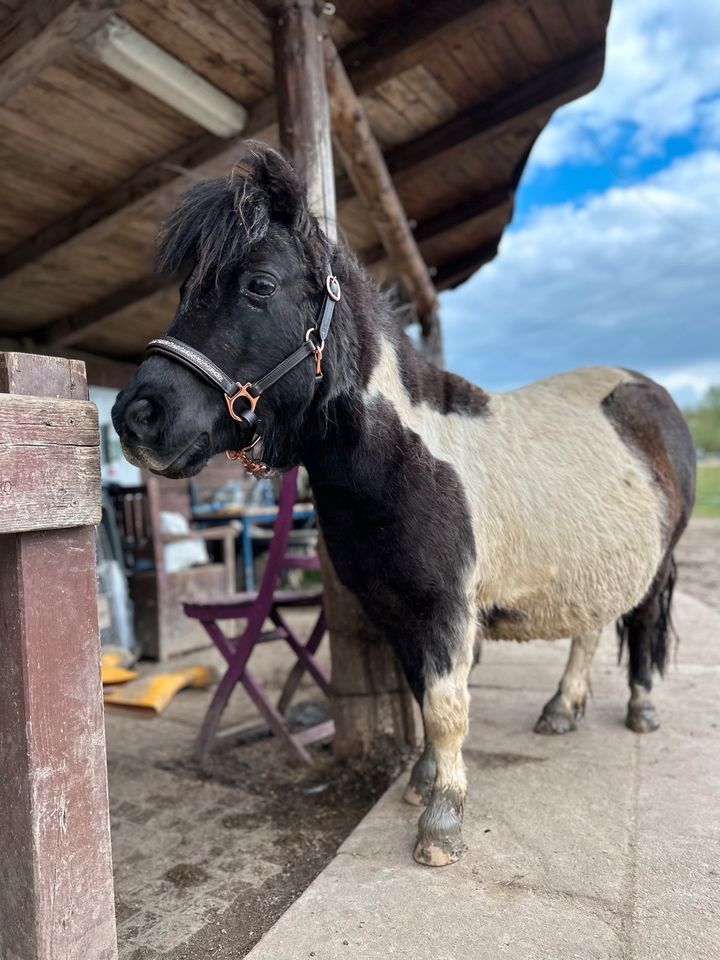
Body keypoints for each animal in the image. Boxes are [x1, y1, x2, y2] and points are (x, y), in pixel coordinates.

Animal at [114, 142, 696, 872]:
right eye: (185, 290)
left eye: (259, 285)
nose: (136, 415)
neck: (406, 459)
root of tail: (652, 396)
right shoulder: (391, 607)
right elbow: (421, 695)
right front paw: (422, 781)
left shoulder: (445, 608)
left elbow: (446, 704)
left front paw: (442, 820)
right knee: (589, 627)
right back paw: (561, 709)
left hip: (659, 563)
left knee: (641, 625)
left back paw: (639, 708)